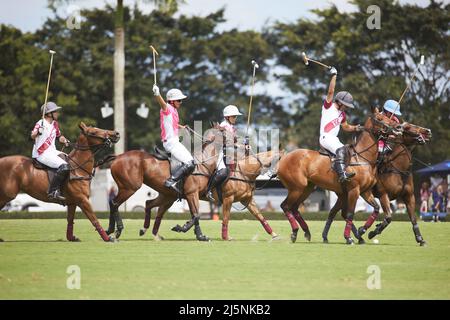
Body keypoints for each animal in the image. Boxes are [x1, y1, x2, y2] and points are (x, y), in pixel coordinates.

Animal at [276, 109, 402, 244]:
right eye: (379, 118)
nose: (398, 127)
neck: (364, 158)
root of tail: (284, 157)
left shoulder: (365, 191)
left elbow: (376, 208)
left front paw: (363, 230)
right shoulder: (354, 190)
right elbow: (350, 214)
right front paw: (349, 237)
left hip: (307, 188)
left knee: (294, 207)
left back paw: (307, 232)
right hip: (297, 188)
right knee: (285, 206)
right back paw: (295, 232)